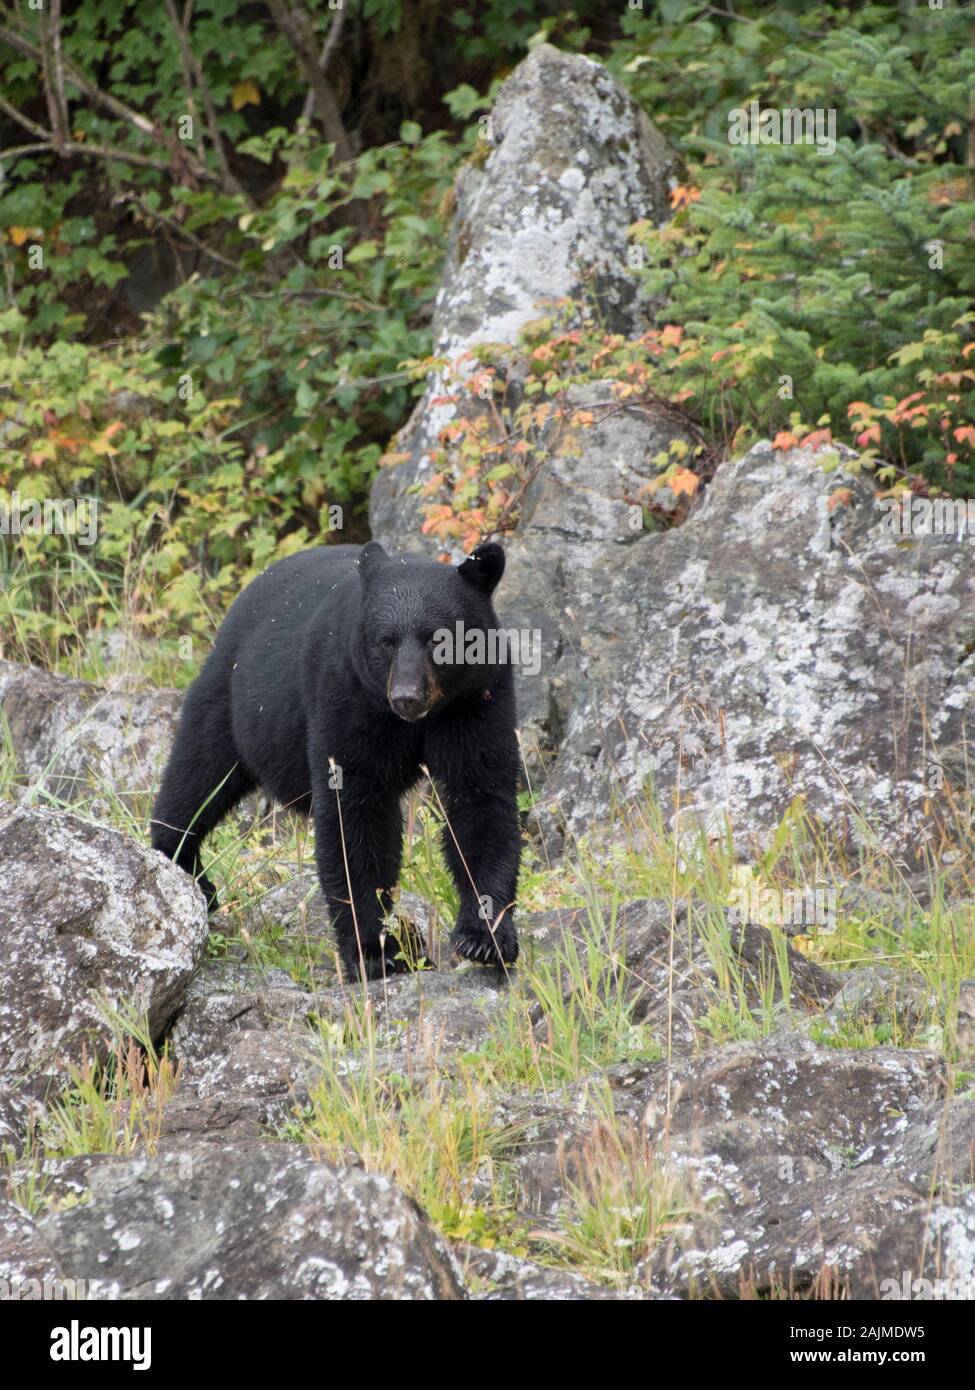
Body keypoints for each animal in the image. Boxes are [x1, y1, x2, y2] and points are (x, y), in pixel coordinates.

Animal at [150, 533, 517, 978]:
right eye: (385, 640)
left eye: (438, 639)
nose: (406, 697)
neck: (423, 719)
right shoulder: (347, 693)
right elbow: (354, 811)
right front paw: (376, 951)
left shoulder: (478, 698)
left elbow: (482, 798)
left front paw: (486, 937)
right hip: (235, 698)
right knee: (198, 772)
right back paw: (184, 868)